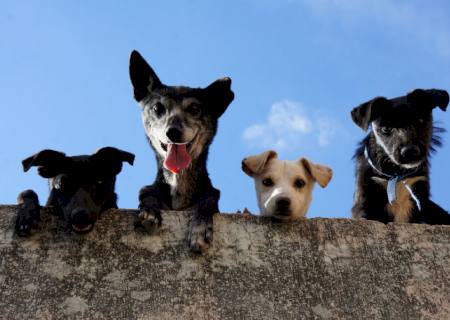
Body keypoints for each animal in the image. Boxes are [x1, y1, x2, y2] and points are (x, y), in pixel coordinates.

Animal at [128, 49, 234, 252]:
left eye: (194, 108)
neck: (178, 181)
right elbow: (147, 193)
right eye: (157, 107)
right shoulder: (150, 190)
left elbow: (207, 199)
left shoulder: (210, 195)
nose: (173, 132)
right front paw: (150, 212)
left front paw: (199, 228)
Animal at [352, 89, 450, 224]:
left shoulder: (420, 197)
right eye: (386, 128)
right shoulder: (364, 200)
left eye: (419, 120)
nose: (409, 151)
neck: (396, 174)